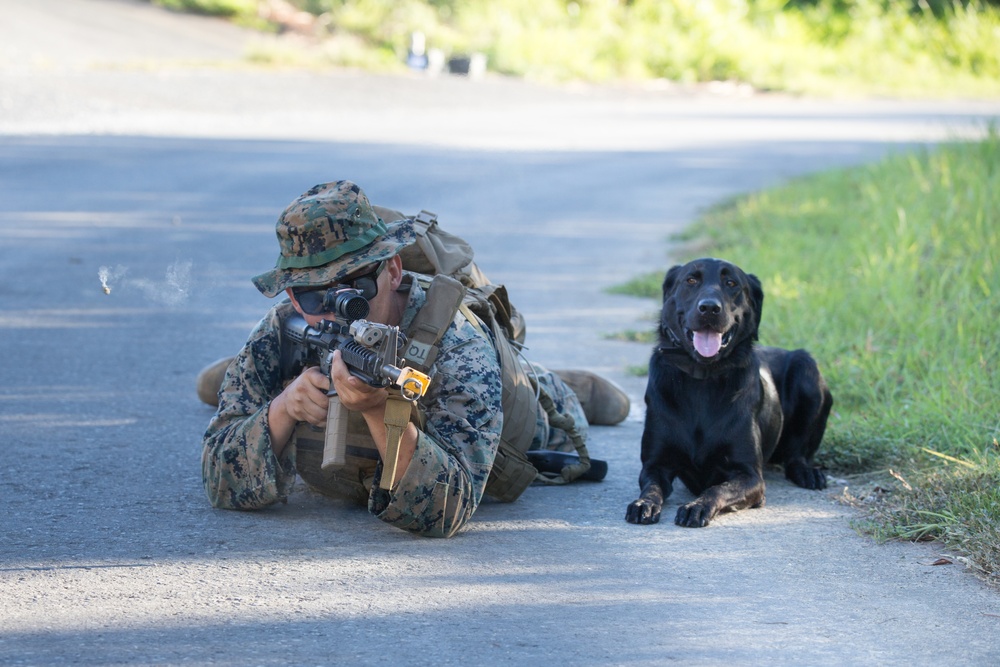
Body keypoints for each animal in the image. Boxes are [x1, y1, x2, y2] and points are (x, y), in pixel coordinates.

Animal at [628, 258, 832, 528]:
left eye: (731, 283)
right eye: (691, 280)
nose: (709, 308)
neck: (703, 378)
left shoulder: (750, 476)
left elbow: (718, 489)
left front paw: (696, 507)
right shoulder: (655, 465)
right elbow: (651, 487)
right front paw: (644, 504)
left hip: (807, 369)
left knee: (797, 455)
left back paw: (807, 473)